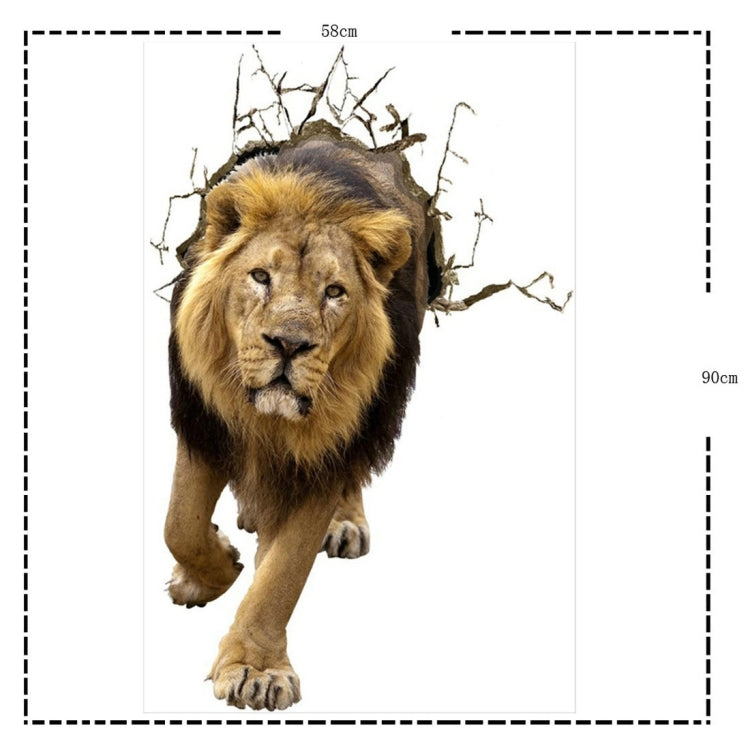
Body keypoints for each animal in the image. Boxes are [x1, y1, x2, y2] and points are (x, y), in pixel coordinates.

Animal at [164, 125, 435, 710]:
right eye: (260, 277)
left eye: (334, 292)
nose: (289, 344)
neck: (267, 421)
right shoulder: (202, 422)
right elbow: (180, 524)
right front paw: (211, 572)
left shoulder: (325, 453)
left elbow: (283, 572)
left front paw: (255, 668)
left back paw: (341, 524)